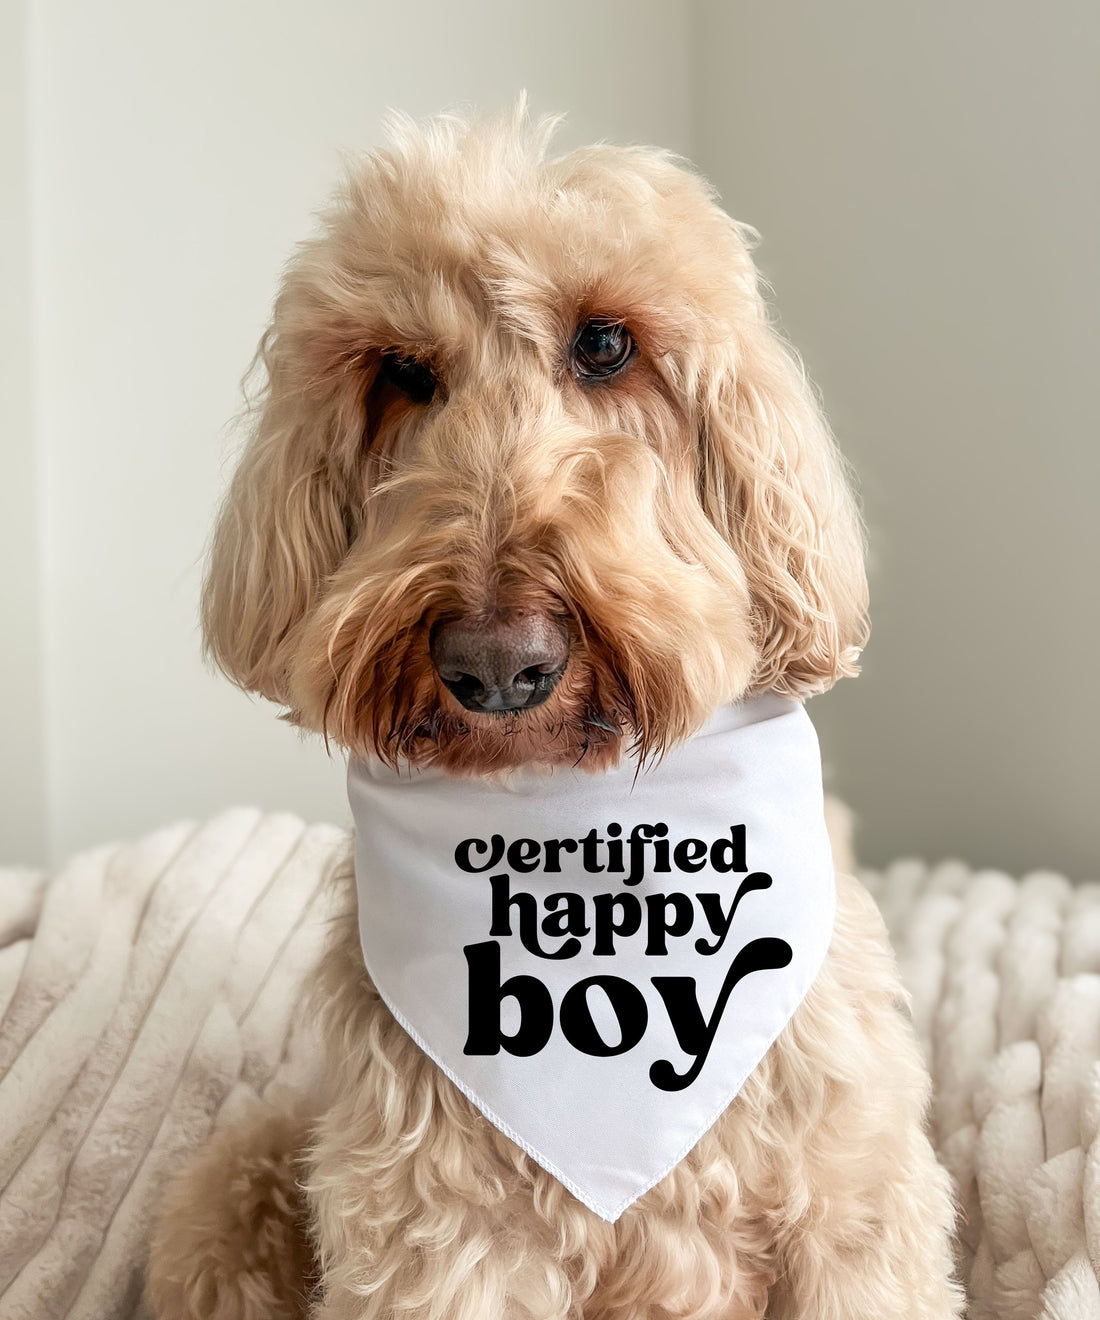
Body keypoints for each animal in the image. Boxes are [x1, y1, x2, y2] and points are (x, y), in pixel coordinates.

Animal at [147, 105, 961, 1320]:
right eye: (402, 372)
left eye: (606, 346)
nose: (496, 667)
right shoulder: (441, 1235)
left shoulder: (851, 1209)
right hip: (235, 1181)